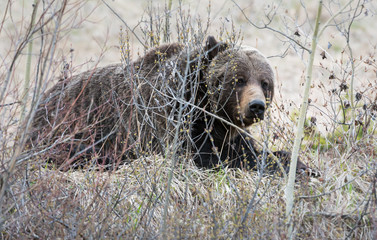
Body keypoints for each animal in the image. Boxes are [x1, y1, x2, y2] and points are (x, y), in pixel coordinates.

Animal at [30, 35, 308, 173]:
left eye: (265, 82)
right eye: (238, 80)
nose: (256, 105)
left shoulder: (228, 130)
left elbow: (252, 149)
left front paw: (298, 163)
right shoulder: (172, 117)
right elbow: (204, 157)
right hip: (68, 125)